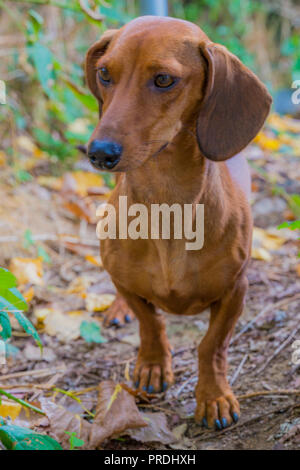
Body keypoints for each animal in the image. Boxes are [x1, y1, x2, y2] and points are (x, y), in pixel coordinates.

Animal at [85, 15, 272, 430]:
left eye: (164, 80)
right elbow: (150, 322)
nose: (99, 153)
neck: (166, 203)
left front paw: (214, 397)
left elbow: (212, 345)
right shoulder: (126, 281)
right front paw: (153, 366)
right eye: (105, 73)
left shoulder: (235, 290)